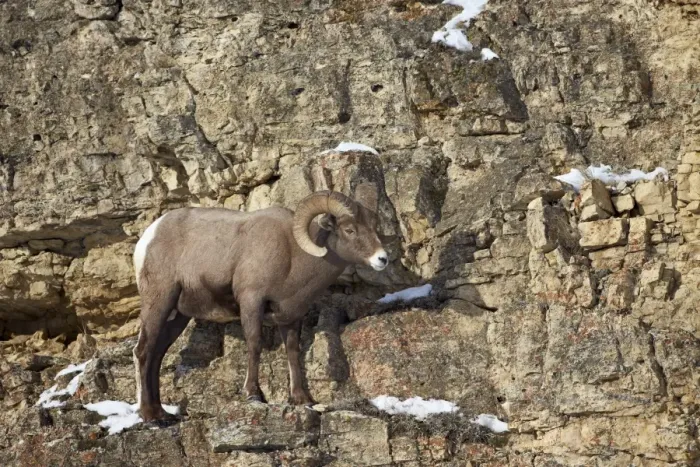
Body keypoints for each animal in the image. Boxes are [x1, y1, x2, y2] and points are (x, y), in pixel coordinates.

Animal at [132, 183, 388, 422]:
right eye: (349, 229)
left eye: (373, 228)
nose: (382, 259)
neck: (293, 255)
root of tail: (149, 237)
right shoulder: (251, 302)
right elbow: (255, 344)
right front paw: (254, 394)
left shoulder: (291, 316)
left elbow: (293, 352)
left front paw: (301, 399)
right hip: (159, 302)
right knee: (143, 351)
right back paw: (149, 415)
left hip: (178, 316)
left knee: (156, 355)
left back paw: (161, 413)